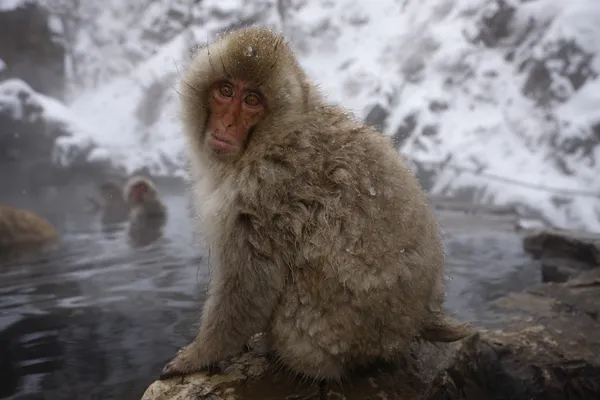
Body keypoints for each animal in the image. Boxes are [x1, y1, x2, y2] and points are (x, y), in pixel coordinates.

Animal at [161, 26, 474, 382]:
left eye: (252, 100)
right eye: (225, 91)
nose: (226, 125)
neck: (275, 135)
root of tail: (417, 320)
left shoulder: (261, 190)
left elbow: (250, 286)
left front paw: (200, 354)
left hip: (326, 336)